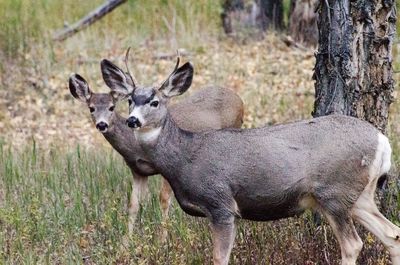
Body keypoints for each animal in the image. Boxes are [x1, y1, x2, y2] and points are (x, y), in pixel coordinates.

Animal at [68, 67, 244, 234]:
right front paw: (126, 242)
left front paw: (162, 239)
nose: (102, 124)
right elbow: (133, 205)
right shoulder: (137, 171)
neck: (135, 147)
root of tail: (238, 98)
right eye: (91, 108)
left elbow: (164, 199)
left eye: (112, 107)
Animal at [101, 56, 400, 264]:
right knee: (392, 235)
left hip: (334, 193)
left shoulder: (221, 203)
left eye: (155, 102)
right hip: (359, 196)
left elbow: (219, 257)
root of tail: (382, 142)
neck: (185, 158)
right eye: (130, 100)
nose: (132, 120)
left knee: (354, 244)